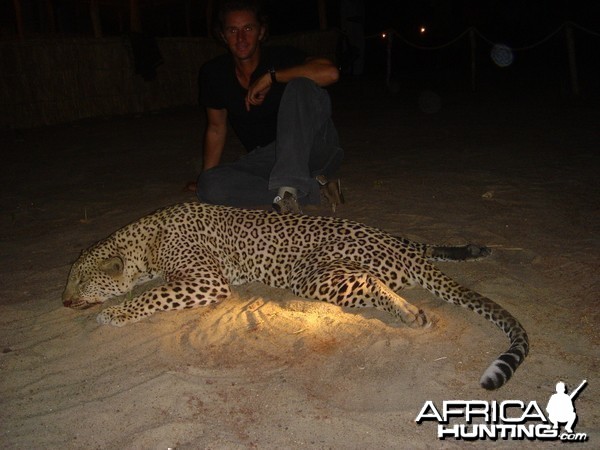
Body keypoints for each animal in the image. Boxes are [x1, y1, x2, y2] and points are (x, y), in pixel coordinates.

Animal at [63, 202, 528, 388]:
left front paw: (113, 314)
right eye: (69, 281)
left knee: (374, 284)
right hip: (378, 252)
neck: (145, 240)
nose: (64, 301)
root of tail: (392, 248)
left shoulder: (204, 280)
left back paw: (409, 312)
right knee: (421, 247)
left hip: (314, 276)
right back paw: (471, 251)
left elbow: (151, 297)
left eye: (80, 283)